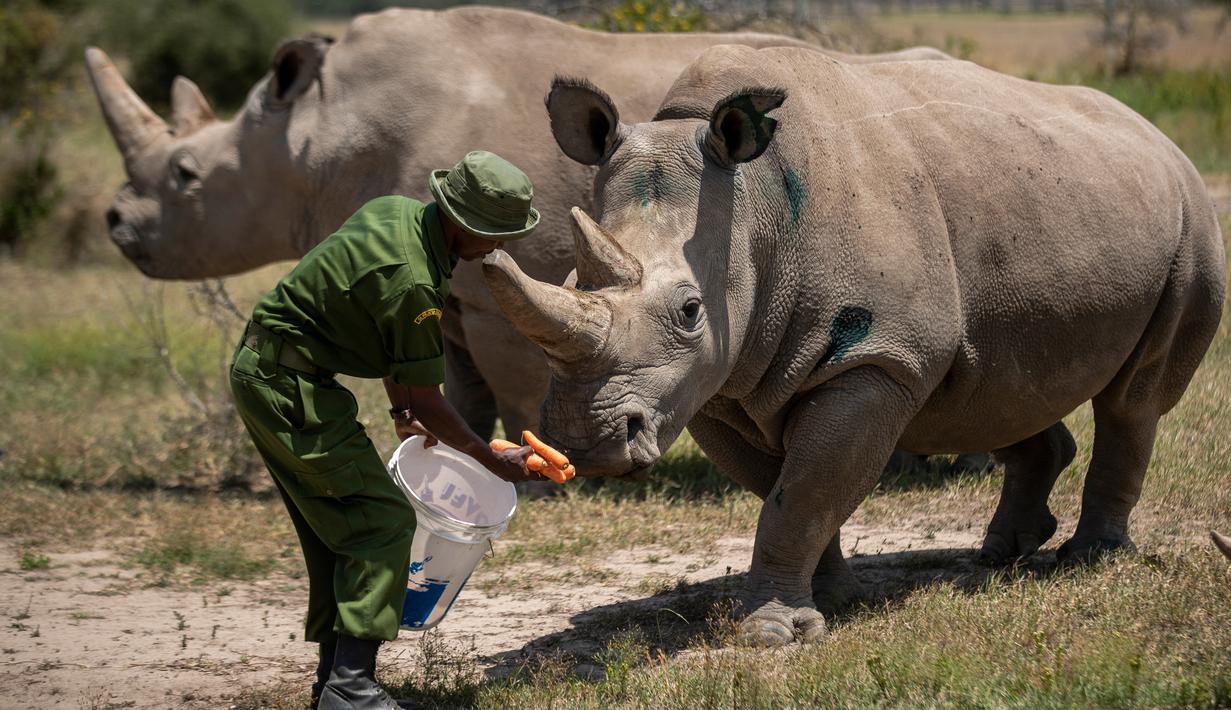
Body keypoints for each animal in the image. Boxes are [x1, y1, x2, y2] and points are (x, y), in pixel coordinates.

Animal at [84, 5, 950, 438]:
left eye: (185, 177)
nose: (115, 222)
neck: (310, 134)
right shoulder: (449, 285)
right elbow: (455, 379)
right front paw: (449, 447)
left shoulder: (507, 280)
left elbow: (510, 373)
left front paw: (542, 459)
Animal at [485, 43, 1226, 639]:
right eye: (569, 279)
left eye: (691, 310)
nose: (586, 441)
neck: (751, 208)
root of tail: (1154, 134)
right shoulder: (719, 382)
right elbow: (787, 490)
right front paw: (832, 600)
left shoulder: (874, 359)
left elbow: (804, 491)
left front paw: (772, 634)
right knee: (997, 383)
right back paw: (1002, 552)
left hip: (1192, 223)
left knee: (1133, 398)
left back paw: (1089, 557)